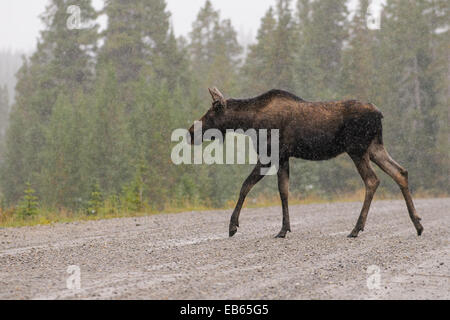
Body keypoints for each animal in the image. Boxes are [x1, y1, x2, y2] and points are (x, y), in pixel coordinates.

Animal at [187, 87, 426, 238]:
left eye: (210, 112)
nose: (190, 132)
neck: (249, 123)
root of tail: (380, 115)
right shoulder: (283, 157)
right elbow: (284, 191)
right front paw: (284, 229)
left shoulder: (269, 155)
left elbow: (245, 186)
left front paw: (233, 226)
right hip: (374, 147)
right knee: (400, 172)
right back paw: (417, 224)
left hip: (357, 149)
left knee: (372, 180)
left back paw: (356, 229)